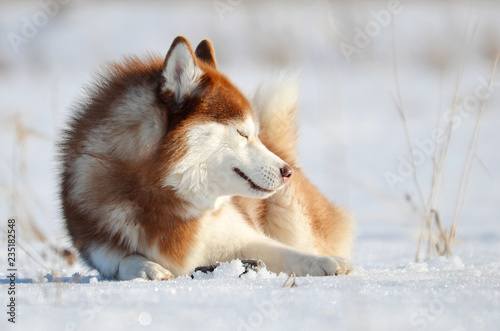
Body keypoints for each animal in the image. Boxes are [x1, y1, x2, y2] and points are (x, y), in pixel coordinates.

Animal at [60, 35, 354, 280]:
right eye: (242, 133)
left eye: (254, 133)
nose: (287, 171)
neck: (165, 195)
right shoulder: (101, 247)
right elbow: (124, 261)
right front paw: (148, 268)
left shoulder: (243, 239)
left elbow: (291, 255)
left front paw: (327, 263)